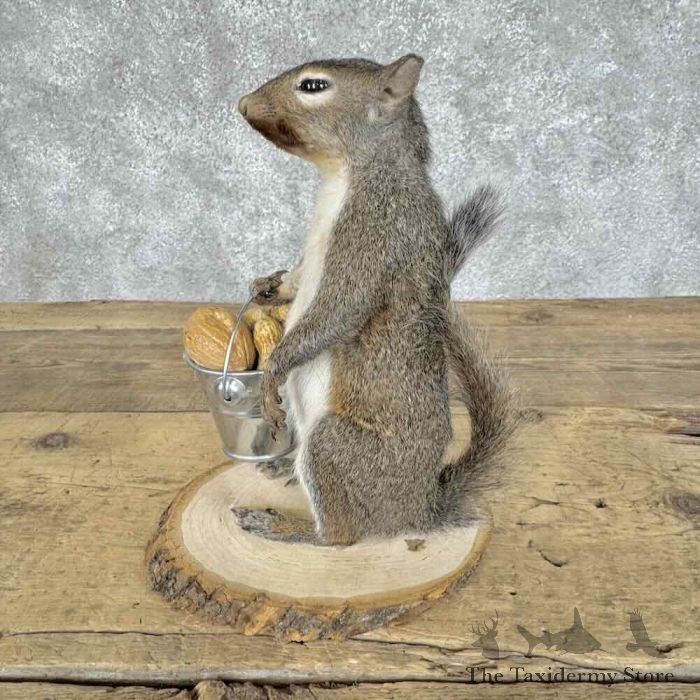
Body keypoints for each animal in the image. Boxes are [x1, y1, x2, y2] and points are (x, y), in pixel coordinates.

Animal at [234, 55, 516, 546]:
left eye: (313, 86)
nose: (243, 103)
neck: (349, 175)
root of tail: (417, 510)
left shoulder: (374, 237)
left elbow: (337, 312)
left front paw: (272, 376)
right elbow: (299, 279)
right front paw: (268, 285)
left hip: (335, 447)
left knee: (338, 537)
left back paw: (283, 526)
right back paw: (283, 467)